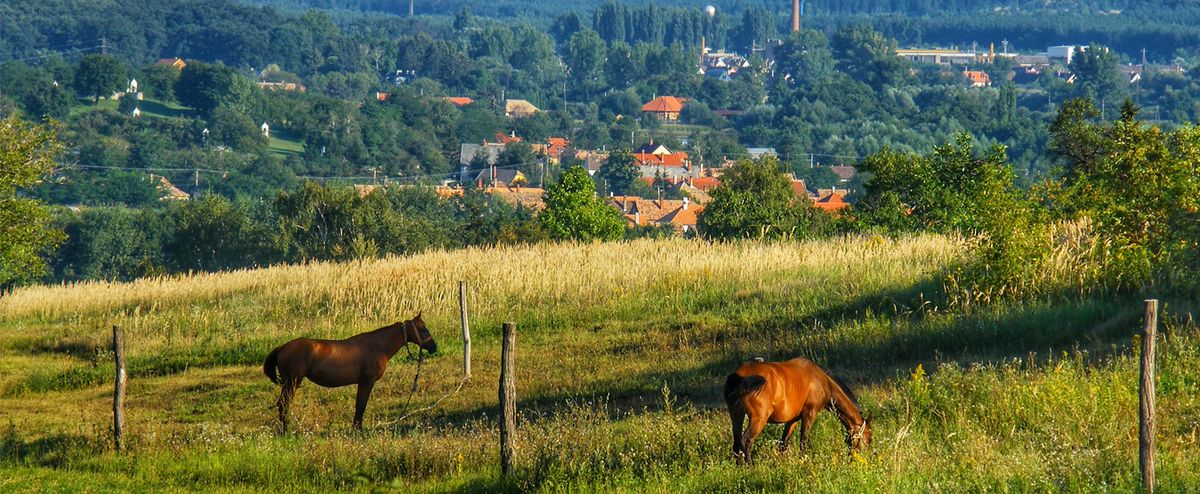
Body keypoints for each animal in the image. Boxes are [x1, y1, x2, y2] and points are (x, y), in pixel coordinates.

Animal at [260, 311, 439, 431]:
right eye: (423, 329)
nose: (434, 347)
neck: (378, 346)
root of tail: (282, 347)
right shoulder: (367, 381)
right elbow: (361, 406)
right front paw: (357, 430)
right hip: (292, 382)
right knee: (283, 404)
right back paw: (285, 431)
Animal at [720, 357, 873, 460]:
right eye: (870, 437)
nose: (867, 456)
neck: (823, 382)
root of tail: (738, 377)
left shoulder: (793, 419)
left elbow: (783, 443)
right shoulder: (809, 414)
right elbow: (803, 442)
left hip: (736, 416)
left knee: (736, 443)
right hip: (758, 419)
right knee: (746, 441)